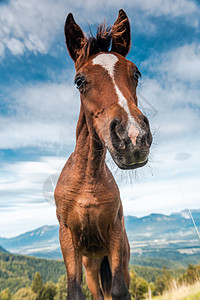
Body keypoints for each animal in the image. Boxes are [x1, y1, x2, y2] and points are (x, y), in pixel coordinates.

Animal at [54, 9, 152, 300]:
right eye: (79, 81)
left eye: (136, 73)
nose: (133, 137)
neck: (87, 180)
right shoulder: (68, 238)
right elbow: (75, 292)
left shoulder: (115, 233)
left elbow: (119, 291)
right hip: (91, 265)